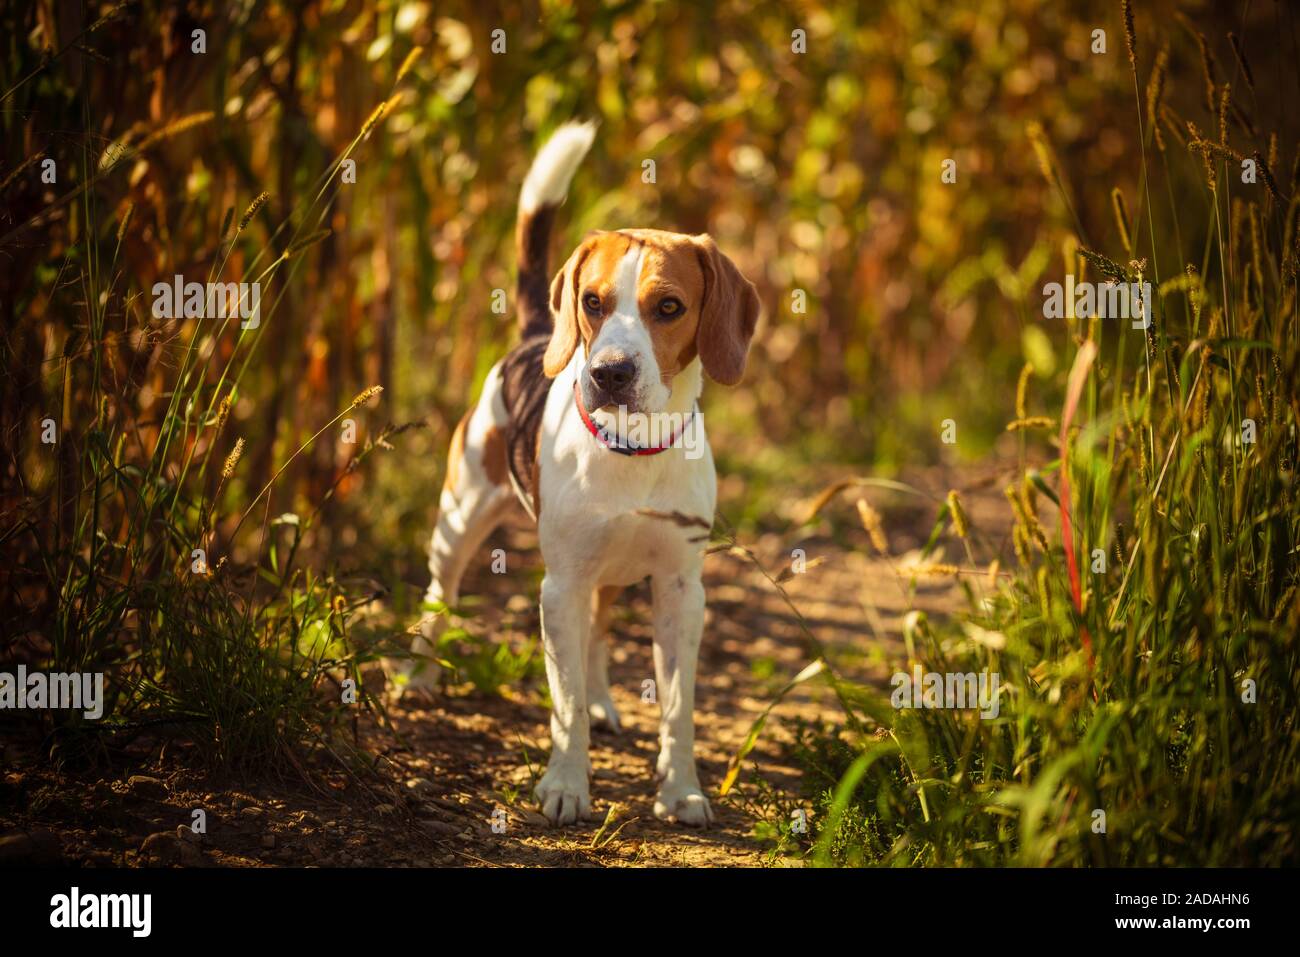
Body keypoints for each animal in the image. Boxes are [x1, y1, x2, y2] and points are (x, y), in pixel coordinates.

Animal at [400, 123, 759, 826]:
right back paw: (422, 678)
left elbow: (678, 710)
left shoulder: (681, 589)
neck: (634, 453)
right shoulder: (560, 586)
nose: (609, 373)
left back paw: (602, 700)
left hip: (612, 570)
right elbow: (563, 708)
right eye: (592, 302)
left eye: (669, 307)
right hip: (458, 523)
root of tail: (537, 333)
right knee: (438, 595)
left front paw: (681, 790)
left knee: (597, 632)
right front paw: (565, 784)